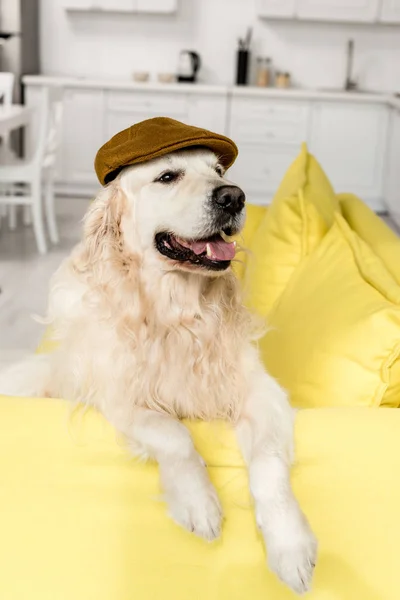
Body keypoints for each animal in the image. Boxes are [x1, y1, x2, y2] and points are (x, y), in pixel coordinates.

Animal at [0, 148, 318, 592]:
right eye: (167, 176)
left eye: (219, 171)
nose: (234, 197)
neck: (178, 315)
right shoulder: (118, 394)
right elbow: (172, 433)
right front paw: (198, 501)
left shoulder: (260, 392)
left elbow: (269, 464)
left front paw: (290, 546)